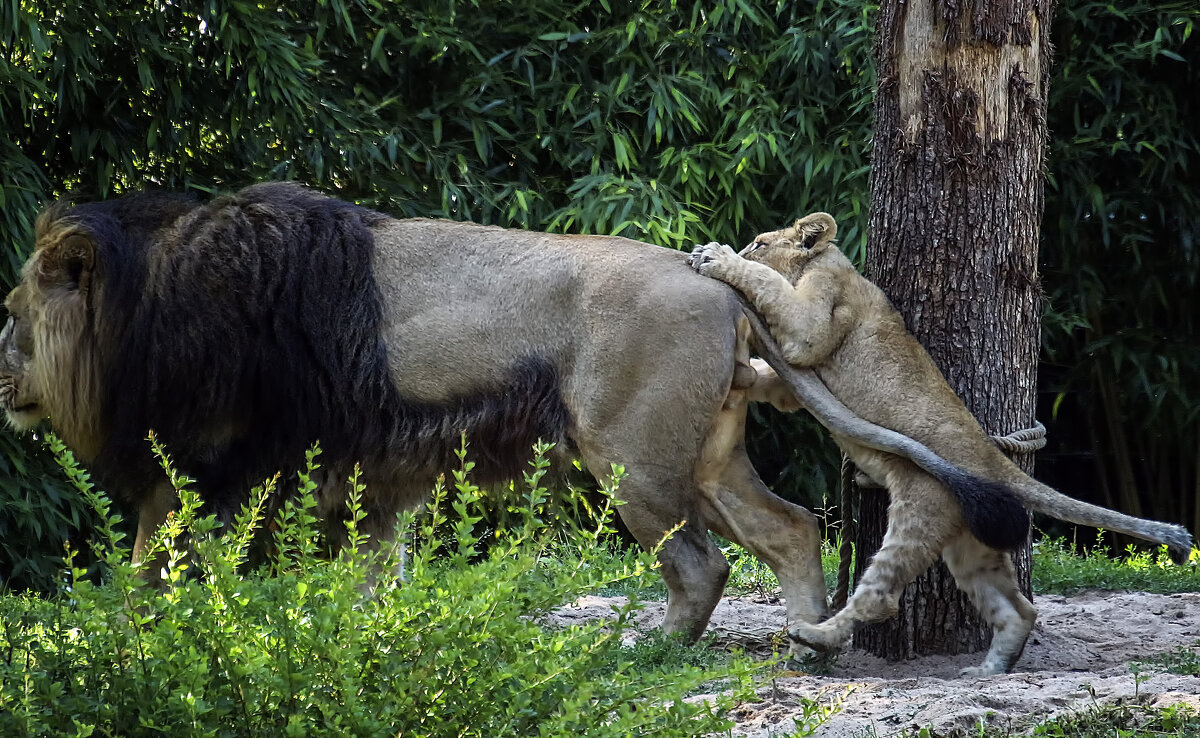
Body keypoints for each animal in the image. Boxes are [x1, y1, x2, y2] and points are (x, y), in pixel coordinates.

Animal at [691, 213, 1195, 676]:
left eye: (759, 242)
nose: (739, 245)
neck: (830, 261)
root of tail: (994, 461)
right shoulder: (798, 368)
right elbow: (771, 377)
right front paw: (743, 373)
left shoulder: (811, 326)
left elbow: (770, 289)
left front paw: (717, 256)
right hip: (971, 542)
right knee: (1019, 608)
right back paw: (988, 673)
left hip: (921, 509)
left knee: (880, 598)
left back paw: (814, 635)